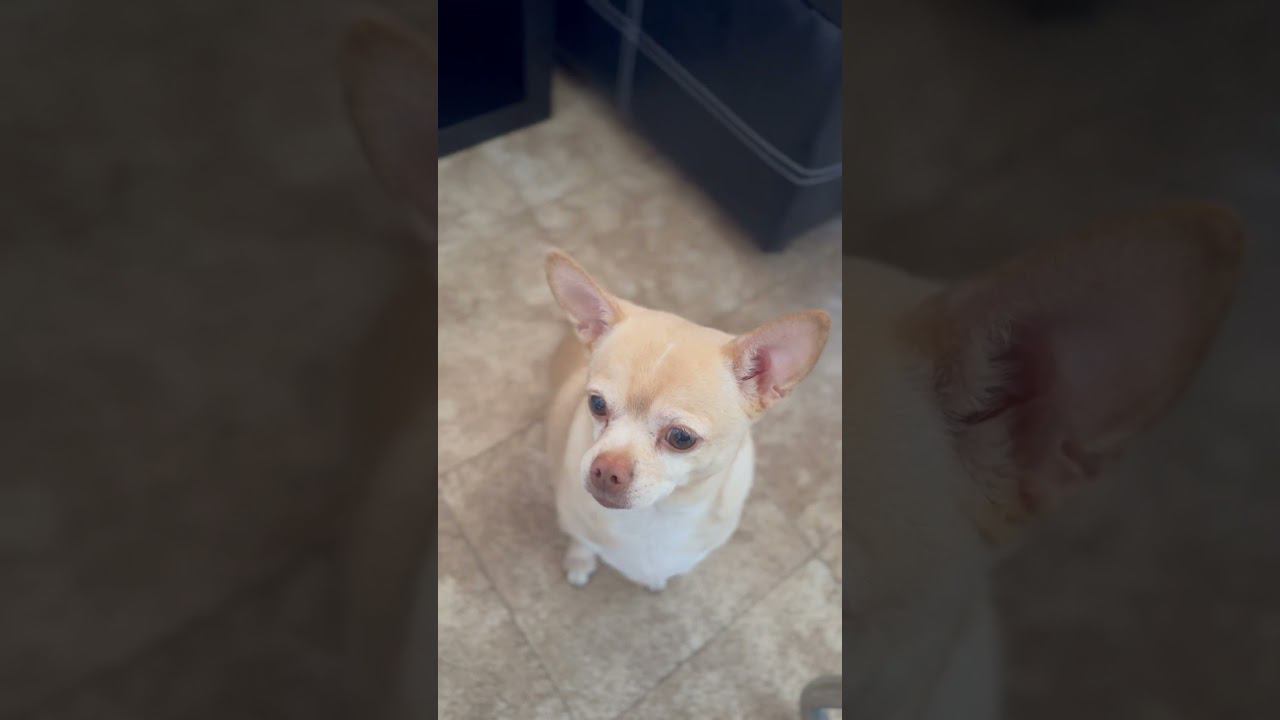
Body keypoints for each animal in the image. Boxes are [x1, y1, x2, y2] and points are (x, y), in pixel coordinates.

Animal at [543, 250, 831, 592]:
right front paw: (579, 562)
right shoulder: (572, 519)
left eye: (681, 438)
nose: (606, 469)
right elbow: (581, 541)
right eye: (596, 404)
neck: (655, 516)